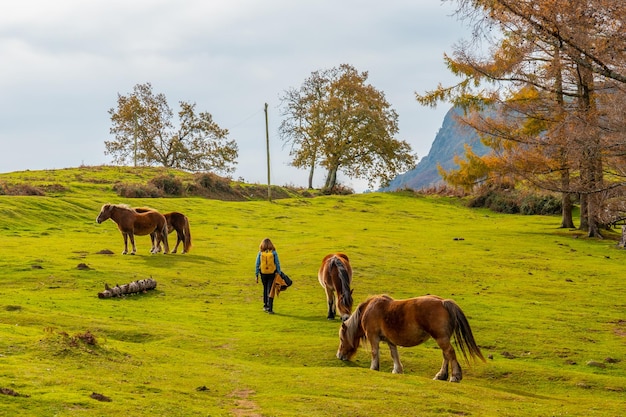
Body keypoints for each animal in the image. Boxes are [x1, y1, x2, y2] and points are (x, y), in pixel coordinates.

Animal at [336, 292, 482, 380]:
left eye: (342, 339)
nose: (339, 356)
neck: (369, 309)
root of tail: (443, 302)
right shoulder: (390, 340)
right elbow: (394, 354)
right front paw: (397, 370)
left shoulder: (373, 337)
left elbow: (374, 352)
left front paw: (374, 368)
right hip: (443, 338)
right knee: (446, 354)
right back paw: (441, 375)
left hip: (441, 338)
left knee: (449, 353)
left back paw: (455, 376)